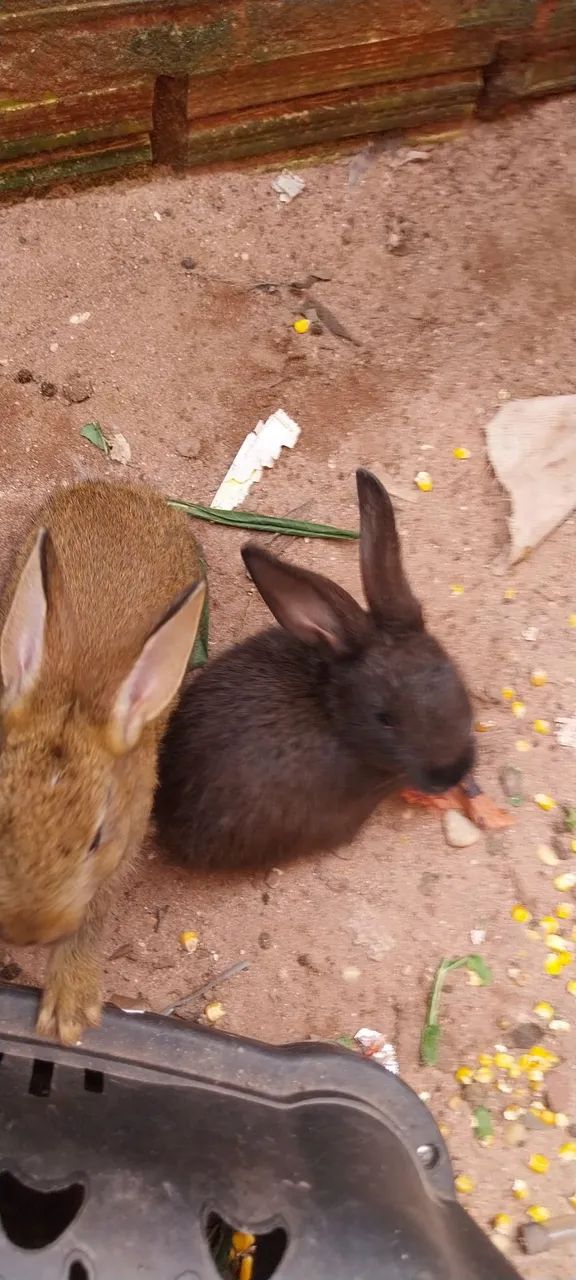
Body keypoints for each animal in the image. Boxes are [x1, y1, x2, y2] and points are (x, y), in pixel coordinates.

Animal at [0, 479, 205, 1044]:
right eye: (1, 817)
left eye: (96, 840)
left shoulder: (121, 851)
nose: (25, 932)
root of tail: (116, 487)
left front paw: (69, 1012)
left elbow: (95, 913)